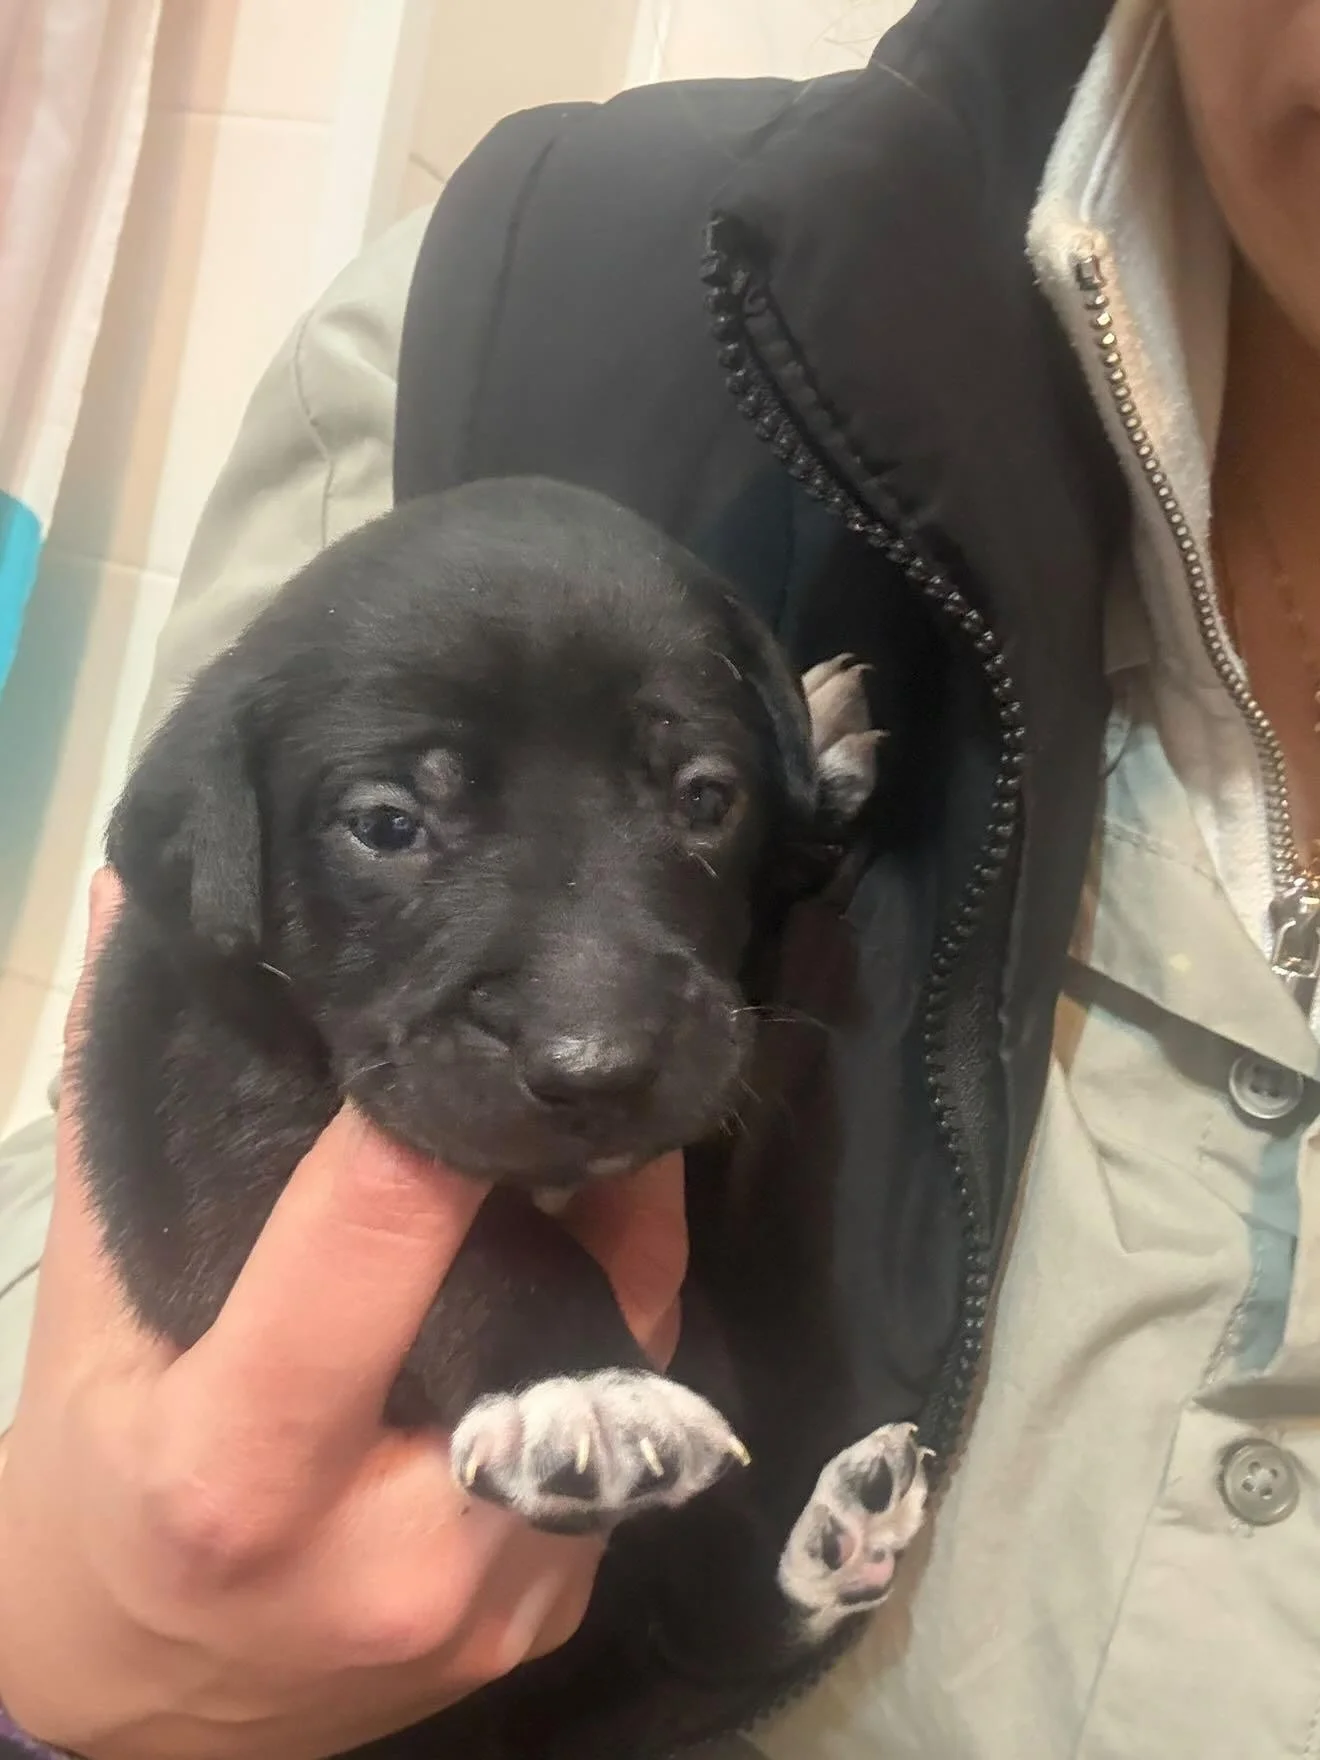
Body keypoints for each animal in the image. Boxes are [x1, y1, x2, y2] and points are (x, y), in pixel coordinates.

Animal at [78, 477, 928, 1758]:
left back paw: (839, 1542)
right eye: (387, 825)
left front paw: (817, 762)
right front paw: (579, 1385)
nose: (598, 1067)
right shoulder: (217, 1149)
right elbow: (483, 1241)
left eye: (705, 798)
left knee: (706, 1627)